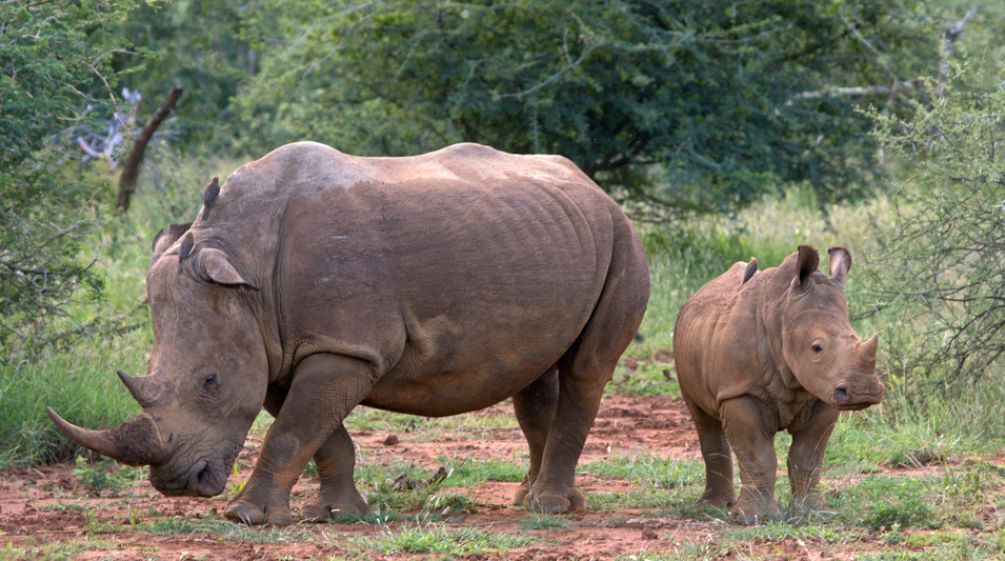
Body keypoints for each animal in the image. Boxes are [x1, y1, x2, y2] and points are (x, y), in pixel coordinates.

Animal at [48, 141, 651, 526]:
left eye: (210, 383)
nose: (177, 483)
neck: (245, 261)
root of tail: (594, 188)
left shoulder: (343, 346)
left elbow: (292, 430)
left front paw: (244, 516)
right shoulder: (282, 346)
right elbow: (318, 432)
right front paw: (337, 514)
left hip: (624, 239)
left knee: (587, 369)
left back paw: (547, 509)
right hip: (550, 234)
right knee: (534, 374)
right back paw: (536, 500)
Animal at [675, 247, 880, 526]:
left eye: (858, 338)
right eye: (816, 348)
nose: (863, 391)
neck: (782, 316)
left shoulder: (823, 395)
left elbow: (808, 457)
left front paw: (814, 512)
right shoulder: (740, 392)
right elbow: (758, 456)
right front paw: (753, 518)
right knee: (703, 419)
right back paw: (714, 507)